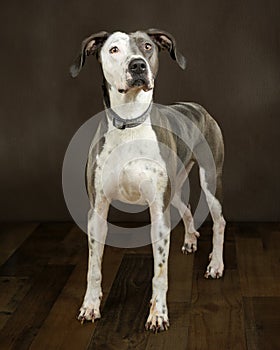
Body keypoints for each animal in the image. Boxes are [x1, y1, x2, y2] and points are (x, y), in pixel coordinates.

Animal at [70, 28, 225, 332]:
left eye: (147, 46)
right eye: (114, 49)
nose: (138, 65)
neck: (129, 123)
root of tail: (196, 106)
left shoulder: (158, 214)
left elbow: (160, 273)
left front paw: (158, 314)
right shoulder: (97, 212)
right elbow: (93, 269)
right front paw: (90, 306)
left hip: (210, 181)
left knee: (219, 221)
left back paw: (215, 264)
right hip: (173, 190)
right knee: (187, 209)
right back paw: (190, 240)